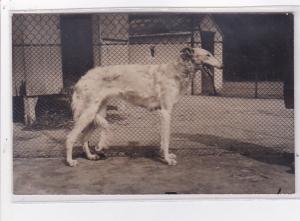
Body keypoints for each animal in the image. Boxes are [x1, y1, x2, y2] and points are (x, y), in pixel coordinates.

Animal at [67, 47, 224, 167]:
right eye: (208, 54)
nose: (222, 66)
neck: (177, 70)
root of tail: (82, 78)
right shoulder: (166, 112)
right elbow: (166, 139)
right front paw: (167, 160)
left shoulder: (164, 113)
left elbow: (162, 141)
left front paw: (165, 155)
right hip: (88, 114)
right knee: (71, 137)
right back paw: (70, 161)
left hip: (96, 115)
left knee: (83, 138)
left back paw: (91, 156)